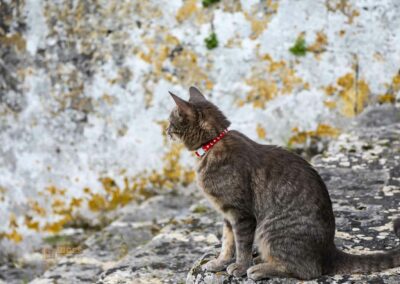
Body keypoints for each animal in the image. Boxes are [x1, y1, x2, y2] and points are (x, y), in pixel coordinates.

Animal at [166, 86, 400, 280]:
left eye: (171, 122)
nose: (166, 131)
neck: (212, 146)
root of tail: (329, 251)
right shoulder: (227, 213)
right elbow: (227, 242)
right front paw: (219, 262)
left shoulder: (241, 214)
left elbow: (241, 244)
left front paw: (240, 267)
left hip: (270, 229)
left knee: (308, 271)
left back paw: (259, 269)